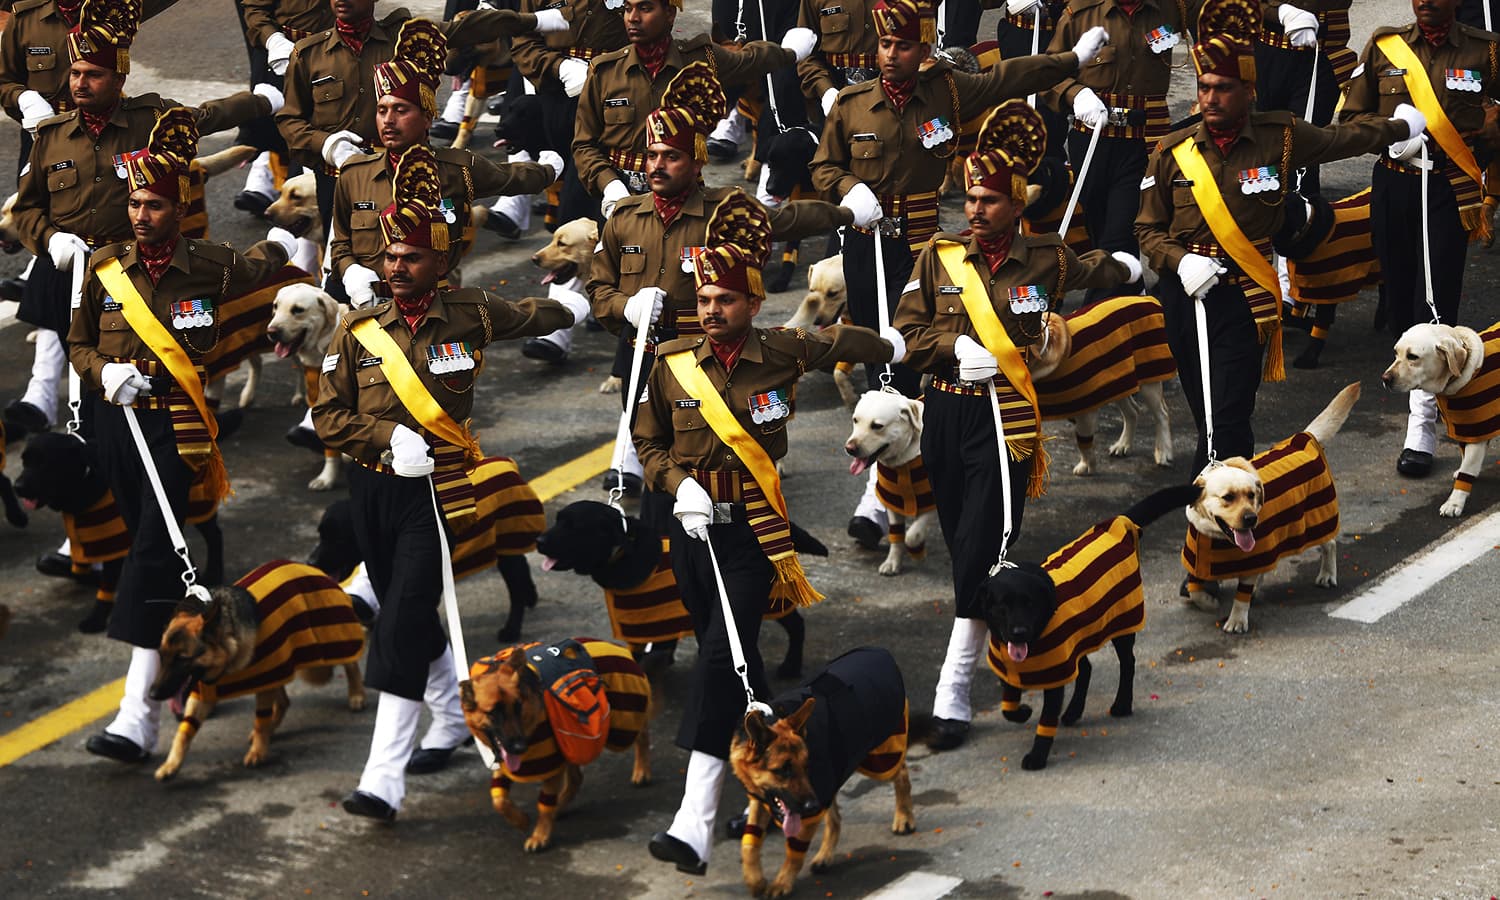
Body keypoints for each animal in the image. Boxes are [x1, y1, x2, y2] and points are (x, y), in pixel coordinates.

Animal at [148, 564, 366, 780]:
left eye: (182, 658)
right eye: (161, 655)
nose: (152, 694)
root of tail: (316, 570)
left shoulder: (266, 677)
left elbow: (260, 721)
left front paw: (258, 751)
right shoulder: (206, 693)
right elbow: (183, 733)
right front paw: (172, 764)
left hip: (329, 642)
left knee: (351, 663)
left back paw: (356, 694)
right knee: (284, 702)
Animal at [462, 636, 651, 852]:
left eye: (518, 707)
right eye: (493, 713)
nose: (520, 748)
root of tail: (620, 648)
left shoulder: (550, 765)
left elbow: (544, 805)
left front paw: (540, 835)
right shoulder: (507, 760)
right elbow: (499, 800)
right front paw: (520, 820)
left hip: (624, 722)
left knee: (642, 733)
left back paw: (642, 770)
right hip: (573, 742)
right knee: (576, 778)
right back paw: (560, 807)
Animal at [729, 648, 912, 894]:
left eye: (806, 766)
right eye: (782, 770)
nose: (810, 806)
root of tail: (880, 652)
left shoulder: (812, 800)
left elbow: (795, 853)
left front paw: (782, 883)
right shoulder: (760, 800)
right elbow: (749, 845)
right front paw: (755, 881)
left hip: (878, 759)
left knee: (901, 774)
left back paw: (904, 816)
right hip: (837, 775)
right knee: (835, 818)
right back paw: (825, 855)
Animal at [1380, 324, 1500, 519]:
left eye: (1413, 356)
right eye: (1396, 353)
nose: (1385, 379)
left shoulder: (1477, 430)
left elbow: (1467, 469)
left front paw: (1454, 502)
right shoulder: (1463, 427)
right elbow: (1465, 459)